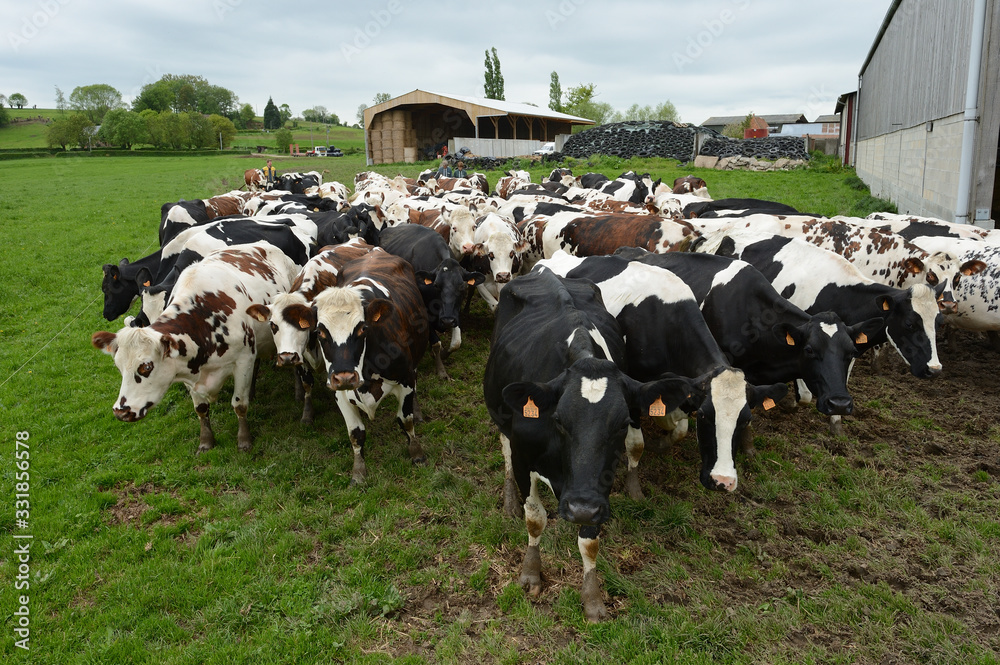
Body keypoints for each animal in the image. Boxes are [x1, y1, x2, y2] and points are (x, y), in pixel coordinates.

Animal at [92, 245, 298, 453]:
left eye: (146, 367)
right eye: (119, 367)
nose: (121, 412)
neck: (203, 321)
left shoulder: (243, 360)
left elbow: (239, 404)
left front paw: (244, 440)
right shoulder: (188, 371)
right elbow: (201, 409)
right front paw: (206, 441)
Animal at [245, 239, 376, 424]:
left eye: (302, 325)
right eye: (273, 325)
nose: (286, 357)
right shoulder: (302, 354)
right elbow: (307, 381)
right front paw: (307, 413)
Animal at [288, 249, 429, 484]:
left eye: (363, 328)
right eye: (320, 331)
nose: (344, 377)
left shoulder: (406, 378)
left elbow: (405, 420)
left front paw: (417, 453)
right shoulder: (340, 393)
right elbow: (356, 434)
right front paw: (359, 472)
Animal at [483, 269, 693, 622]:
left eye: (622, 424)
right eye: (558, 419)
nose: (579, 508)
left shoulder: (599, 486)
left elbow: (590, 541)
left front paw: (592, 597)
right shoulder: (527, 459)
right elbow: (534, 517)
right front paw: (531, 572)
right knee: (505, 449)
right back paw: (509, 498)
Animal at [536, 251, 788, 493]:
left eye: (746, 420)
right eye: (705, 416)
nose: (722, 481)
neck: (665, 322)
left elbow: (680, 429)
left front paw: (662, 439)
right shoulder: (632, 387)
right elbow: (636, 443)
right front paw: (633, 487)